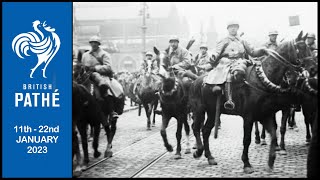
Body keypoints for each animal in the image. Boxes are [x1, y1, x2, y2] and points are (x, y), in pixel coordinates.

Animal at [188, 31, 312, 173]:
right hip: (199, 110)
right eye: (302, 47)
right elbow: (247, 139)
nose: (313, 68)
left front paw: (271, 161)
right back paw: (198, 151)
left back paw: (210, 157)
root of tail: (196, 81)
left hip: (213, 112)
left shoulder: (266, 115)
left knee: (205, 130)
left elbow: (274, 134)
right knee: (196, 128)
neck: (261, 80)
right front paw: (246, 163)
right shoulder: (248, 117)